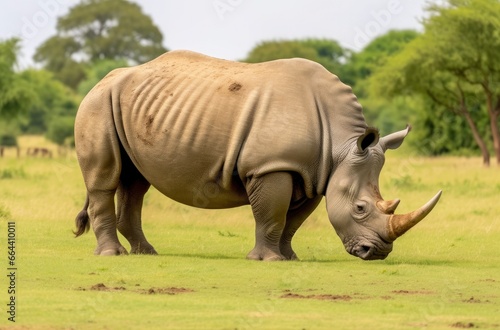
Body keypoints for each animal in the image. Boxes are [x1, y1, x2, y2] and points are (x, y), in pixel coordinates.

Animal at [73, 49, 442, 260]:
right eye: (361, 208)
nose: (376, 252)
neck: (340, 147)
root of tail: (102, 80)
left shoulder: (313, 173)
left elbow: (292, 221)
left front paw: (289, 257)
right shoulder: (271, 166)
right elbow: (271, 214)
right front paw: (269, 260)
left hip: (127, 106)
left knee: (136, 181)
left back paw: (147, 253)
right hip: (97, 105)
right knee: (106, 179)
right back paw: (112, 255)